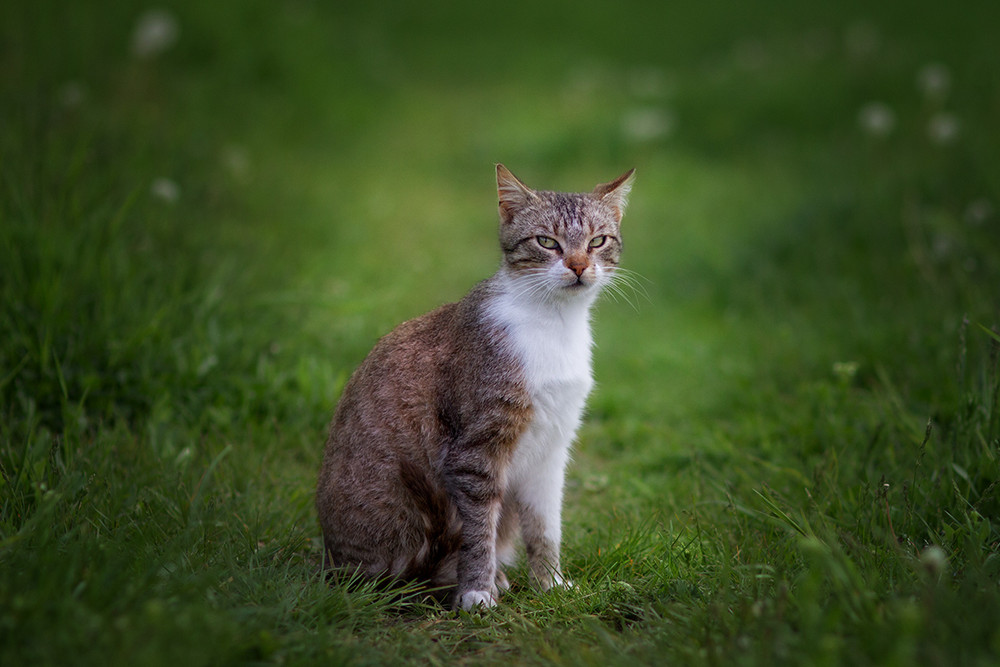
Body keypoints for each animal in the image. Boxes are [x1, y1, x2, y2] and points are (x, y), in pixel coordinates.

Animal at [316, 163, 636, 612]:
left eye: (597, 241)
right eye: (546, 242)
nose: (577, 266)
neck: (553, 323)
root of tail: (333, 559)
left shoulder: (551, 448)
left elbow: (545, 526)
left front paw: (551, 584)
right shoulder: (476, 449)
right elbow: (479, 529)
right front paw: (476, 592)